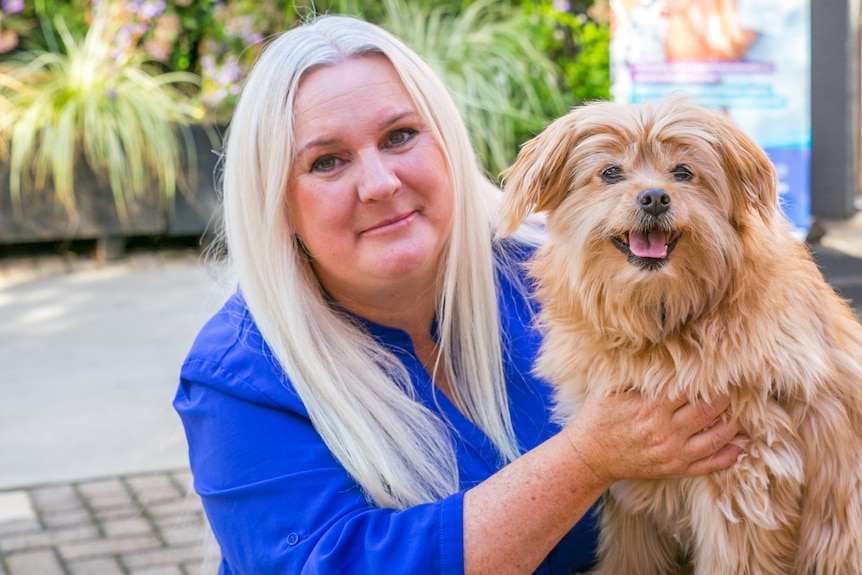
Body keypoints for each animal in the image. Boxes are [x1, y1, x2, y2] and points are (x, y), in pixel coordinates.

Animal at [496, 95, 862, 575]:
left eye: (684, 172)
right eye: (610, 172)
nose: (654, 197)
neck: (663, 325)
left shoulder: (746, 475)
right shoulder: (630, 492)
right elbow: (628, 557)